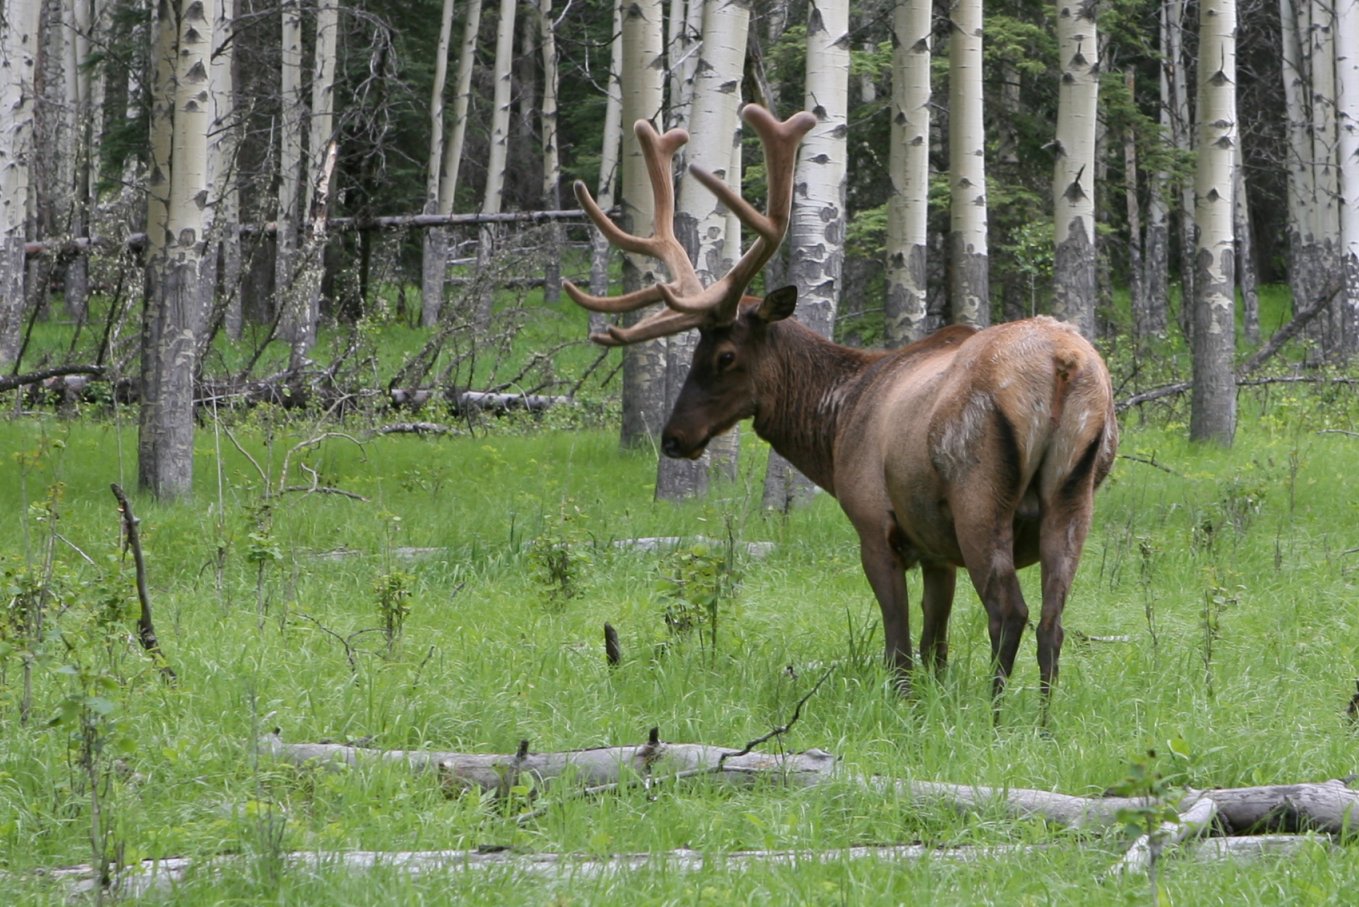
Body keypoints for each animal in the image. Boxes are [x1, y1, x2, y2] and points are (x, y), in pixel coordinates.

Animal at [562, 106, 1114, 717]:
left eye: (725, 355)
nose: (675, 437)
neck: (836, 424)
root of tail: (1064, 363)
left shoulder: (874, 522)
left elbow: (899, 643)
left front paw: (905, 706)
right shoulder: (935, 548)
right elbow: (936, 642)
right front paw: (933, 702)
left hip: (978, 491)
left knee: (1009, 611)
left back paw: (994, 717)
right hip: (1075, 494)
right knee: (1052, 622)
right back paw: (1042, 720)